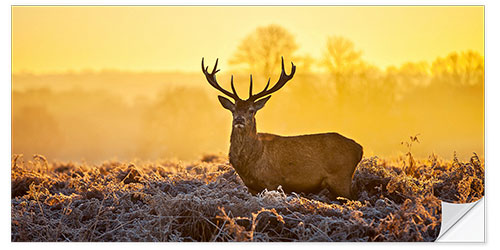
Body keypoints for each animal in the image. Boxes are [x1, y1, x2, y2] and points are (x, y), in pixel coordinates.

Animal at [202, 56, 364, 199]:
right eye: (233, 110)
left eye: (251, 110)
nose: (239, 119)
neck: (251, 161)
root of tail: (359, 148)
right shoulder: (251, 187)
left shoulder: (272, 182)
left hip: (341, 177)